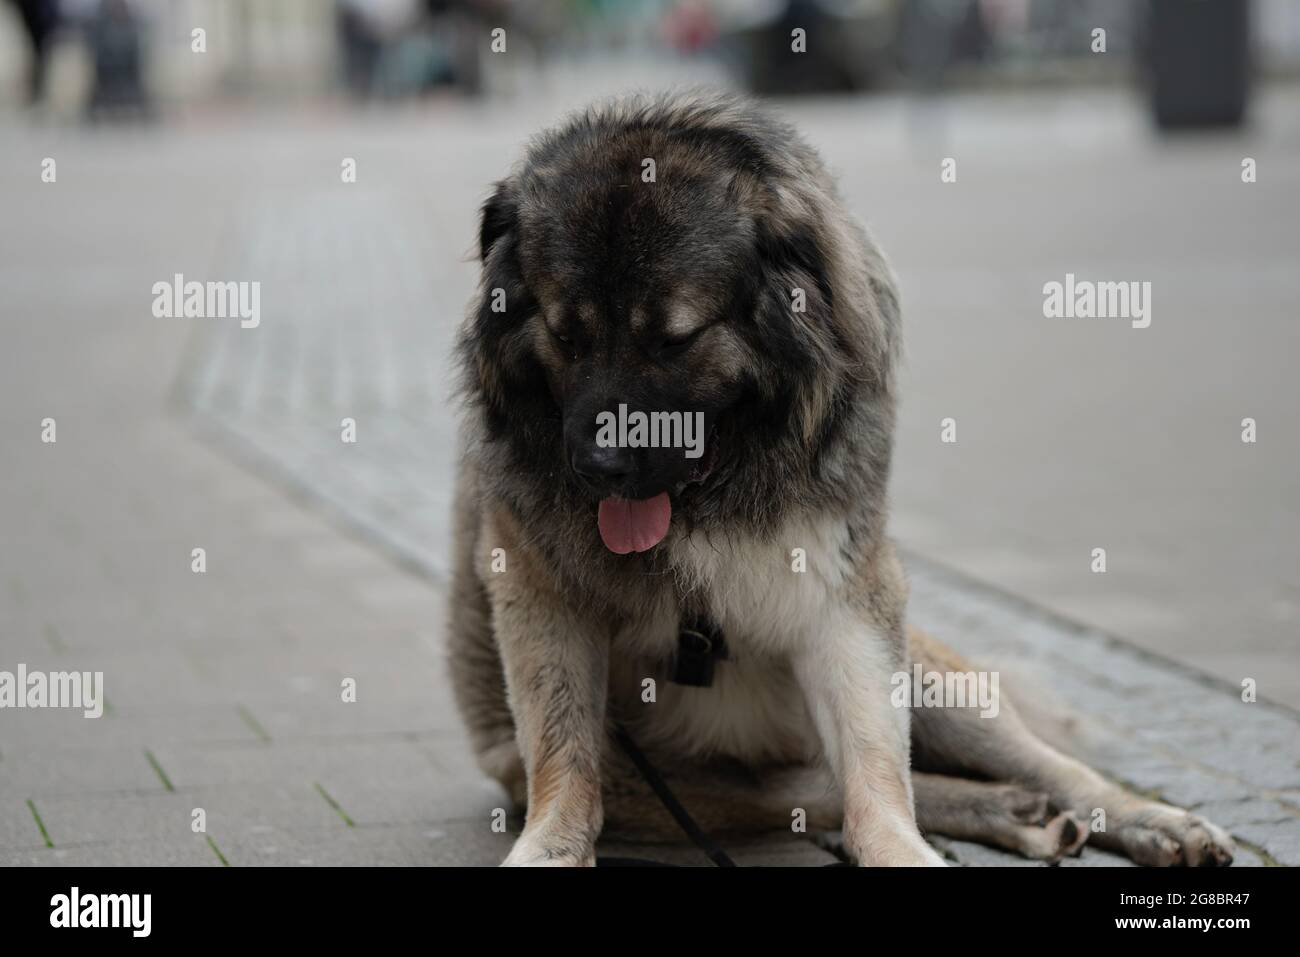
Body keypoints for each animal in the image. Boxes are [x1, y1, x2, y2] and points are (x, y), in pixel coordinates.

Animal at [449, 91, 1237, 868]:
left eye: (675, 340)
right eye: (566, 335)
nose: (599, 467)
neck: (716, 491)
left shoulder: (847, 596)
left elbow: (873, 759)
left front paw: (900, 847)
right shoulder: (542, 599)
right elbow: (564, 755)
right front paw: (550, 846)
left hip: (937, 682)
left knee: (1042, 764)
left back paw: (1144, 819)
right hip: (658, 780)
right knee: (802, 784)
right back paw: (1013, 811)